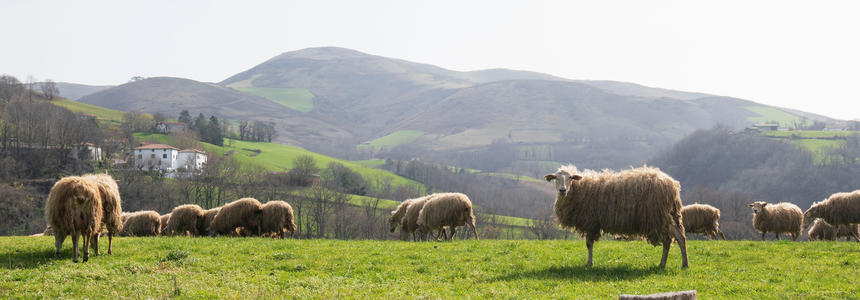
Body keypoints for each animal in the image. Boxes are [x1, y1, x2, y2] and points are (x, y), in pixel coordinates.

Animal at [544, 165, 692, 268]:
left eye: (570, 178)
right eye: (556, 178)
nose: (562, 190)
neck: (578, 190)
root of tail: (673, 185)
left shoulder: (591, 221)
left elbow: (588, 244)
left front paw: (589, 263)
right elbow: (589, 244)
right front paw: (589, 263)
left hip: (660, 216)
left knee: (674, 238)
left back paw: (677, 264)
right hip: (668, 216)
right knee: (674, 239)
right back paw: (670, 264)